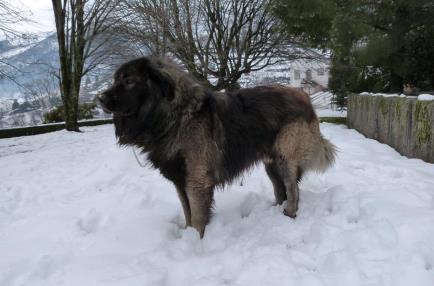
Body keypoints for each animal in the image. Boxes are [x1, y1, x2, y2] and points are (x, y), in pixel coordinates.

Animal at [98, 57, 336, 238]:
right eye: (115, 79)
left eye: (129, 81)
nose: (100, 97)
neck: (174, 116)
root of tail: (304, 95)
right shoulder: (180, 181)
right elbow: (188, 214)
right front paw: (188, 236)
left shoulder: (196, 181)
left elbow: (197, 217)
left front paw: (196, 243)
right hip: (272, 163)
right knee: (281, 189)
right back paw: (275, 211)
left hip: (285, 157)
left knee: (293, 189)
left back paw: (289, 214)